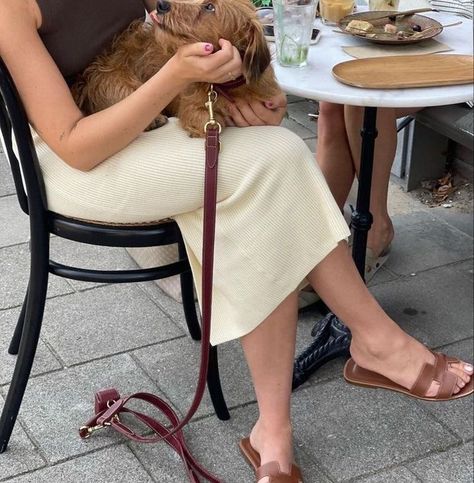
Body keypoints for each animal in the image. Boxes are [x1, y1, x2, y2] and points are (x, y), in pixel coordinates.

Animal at [71, 0, 282, 137]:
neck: (227, 86)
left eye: (209, 6)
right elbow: (208, 119)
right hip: (118, 82)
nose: (161, 4)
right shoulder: (192, 107)